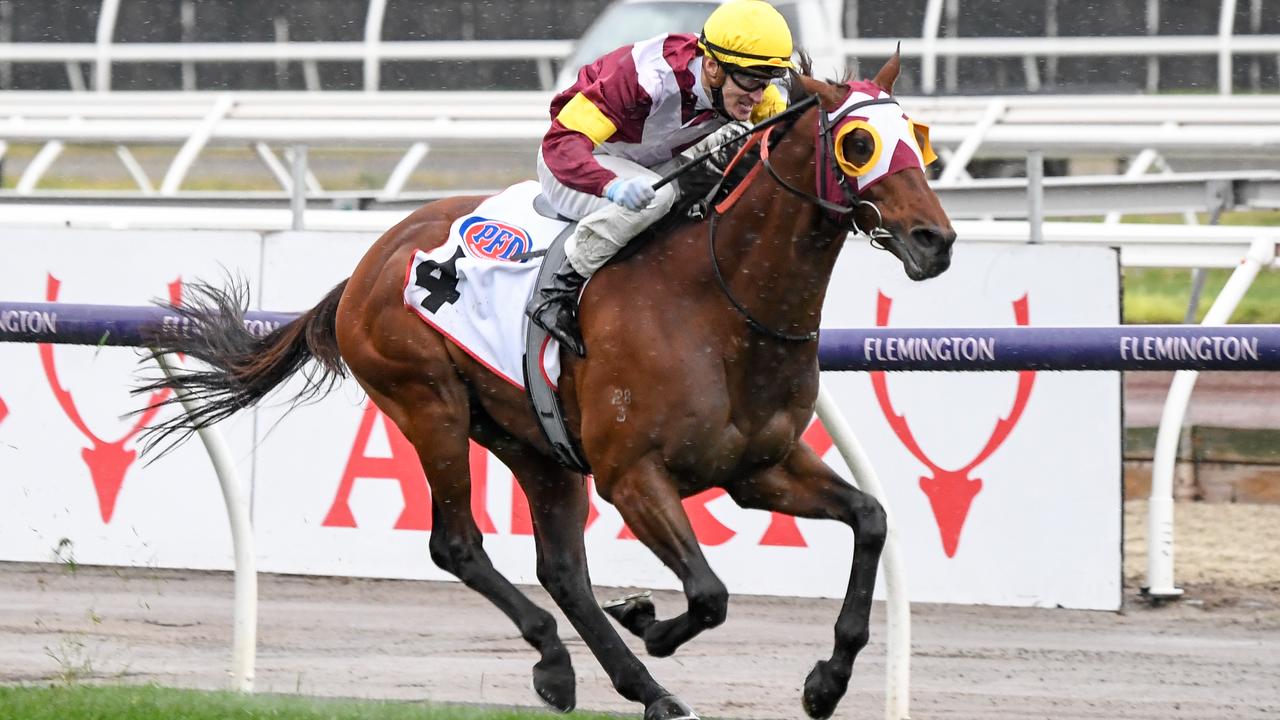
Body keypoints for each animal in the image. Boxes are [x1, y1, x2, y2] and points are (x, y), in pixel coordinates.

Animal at [145, 51, 957, 717]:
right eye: (858, 143)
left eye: (917, 137)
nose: (936, 241)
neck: (720, 303)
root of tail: (371, 262)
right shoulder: (633, 476)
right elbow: (709, 593)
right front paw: (650, 622)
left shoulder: (759, 468)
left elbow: (871, 520)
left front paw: (826, 682)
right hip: (428, 404)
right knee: (458, 545)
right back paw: (566, 662)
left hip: (535, 442)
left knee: (561, 568)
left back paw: (636, 688)